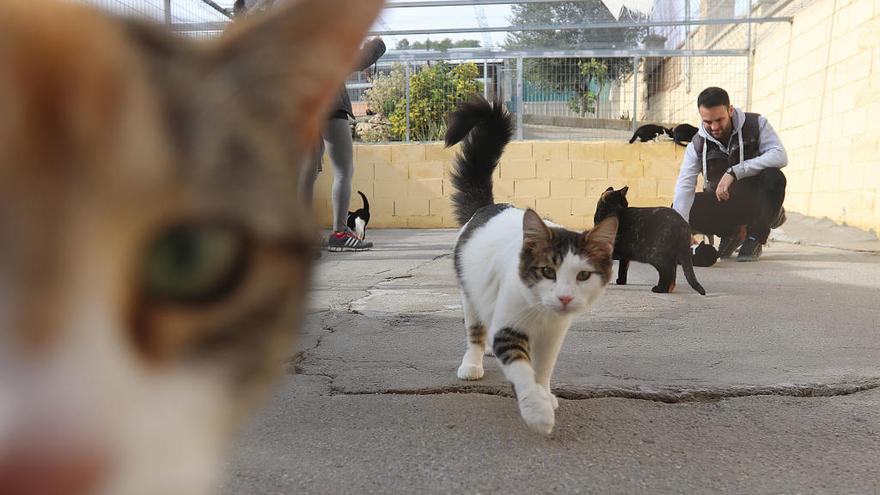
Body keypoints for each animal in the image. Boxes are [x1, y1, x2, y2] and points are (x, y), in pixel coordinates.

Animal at [444, 99, 616, 436]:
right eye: (547, 271)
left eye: (583, 275)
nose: (564, 297)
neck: (541, 312)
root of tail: (489, 206)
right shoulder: (510, 327)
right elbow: (523, 371)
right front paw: (536, 411)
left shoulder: (553, 334)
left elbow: (543, 369)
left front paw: (545, 395)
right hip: (469, 293)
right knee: (475, 331)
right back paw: (473, 362)